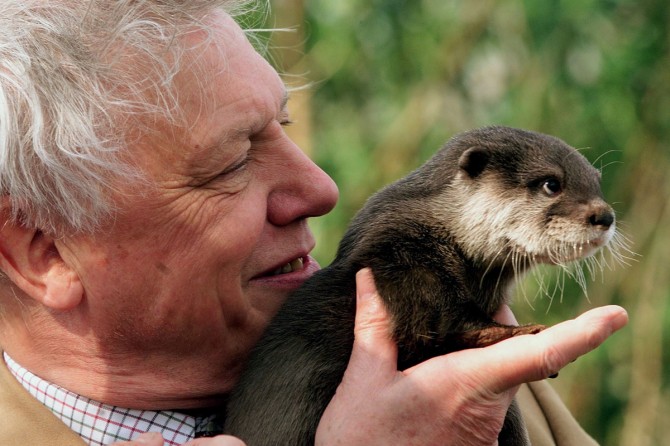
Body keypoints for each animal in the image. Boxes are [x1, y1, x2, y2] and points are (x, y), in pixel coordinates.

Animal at [224, 125, 620, 446]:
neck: (439, 230)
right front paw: (525, 331)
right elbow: (444, 328)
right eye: (551, 183)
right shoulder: (404, 261)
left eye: (596, 182)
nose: (605, 215)